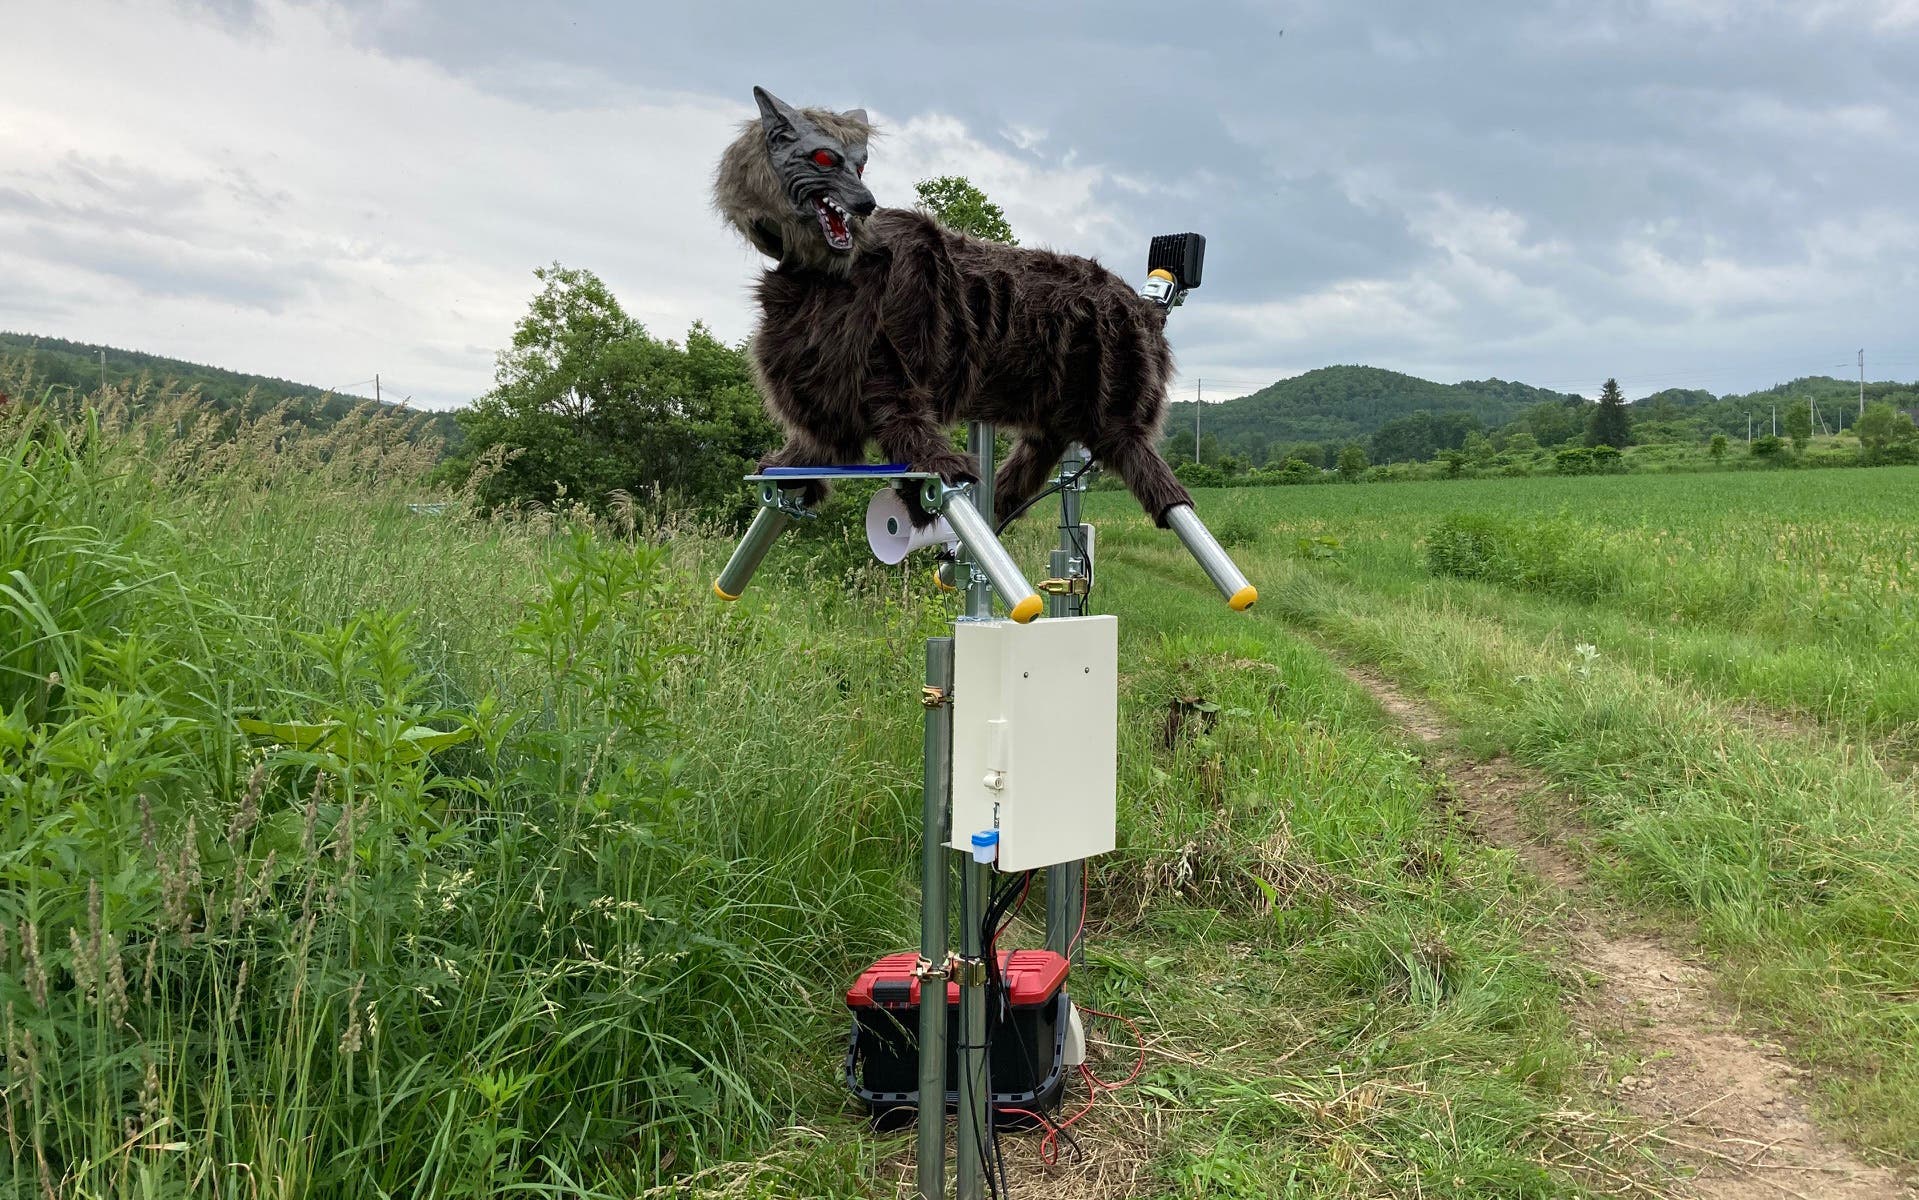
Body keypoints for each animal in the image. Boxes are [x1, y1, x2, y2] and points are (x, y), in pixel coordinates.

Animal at [713, 86, 1193, 529]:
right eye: (823, 158)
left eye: (861, 163)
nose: (866, 203)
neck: (818, 277)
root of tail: (1144, 307)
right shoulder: (828, 393)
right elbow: (816, 445)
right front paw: (785, 463)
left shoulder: (891, 372)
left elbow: (908, 427)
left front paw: (930, 477)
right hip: (1055, 406)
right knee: (1037, 452)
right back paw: (1001, 498)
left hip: (1116, 410)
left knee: (1151, 472)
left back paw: (1165, 498)